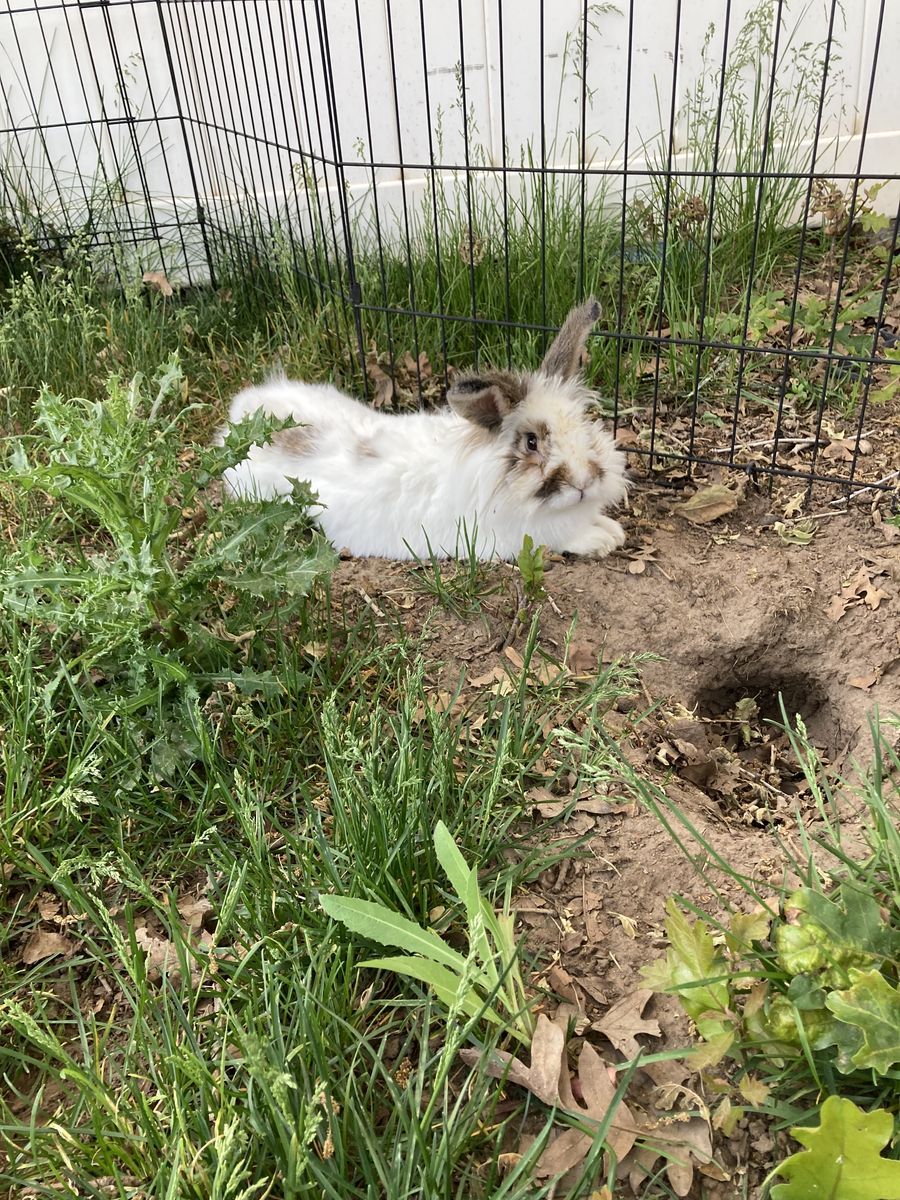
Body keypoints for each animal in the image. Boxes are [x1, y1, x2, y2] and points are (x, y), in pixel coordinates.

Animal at [220, 299, 628, 561]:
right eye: (531, 442)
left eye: (585, 425)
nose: (583, 482)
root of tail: (242, 411)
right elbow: (566, 538)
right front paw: (602, 539)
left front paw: (612, 530)